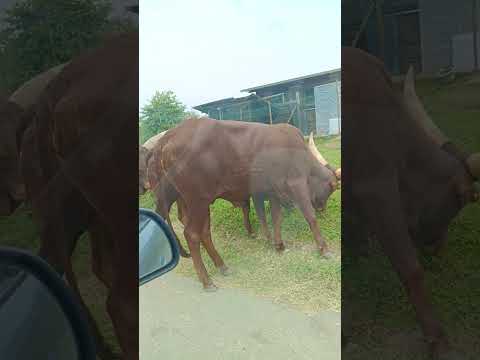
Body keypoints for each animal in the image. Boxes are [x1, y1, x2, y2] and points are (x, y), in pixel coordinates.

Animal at [150, 116, 338, 292]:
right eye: (332, 188)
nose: (322, 207)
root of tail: (170, 135)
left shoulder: (273, 192)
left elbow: (276, 218)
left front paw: (279, 245)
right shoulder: (296, 184)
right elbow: (310, 217)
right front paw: (324, 249)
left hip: (199, 203)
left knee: (204, 233)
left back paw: (222, 266)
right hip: (197, 201)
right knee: (191, 234)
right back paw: (207, 281)